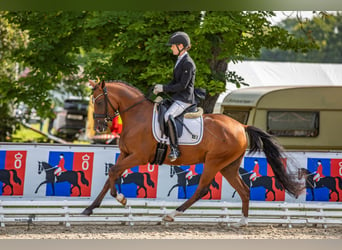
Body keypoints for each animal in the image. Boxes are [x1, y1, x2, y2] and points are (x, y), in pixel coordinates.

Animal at [83, 80, 302, 227]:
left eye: (99, 101)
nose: (100, 126)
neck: (137, 116)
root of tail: (241, 126)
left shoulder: (138, 156)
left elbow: (113, 173)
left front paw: (121, 198)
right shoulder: (125, 154)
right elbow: (110, 177)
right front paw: (89, 208)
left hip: (214, 162)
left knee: (202, 189)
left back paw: (171, 215)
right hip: (228, 166)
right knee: (244, 190)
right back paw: (242, 222)